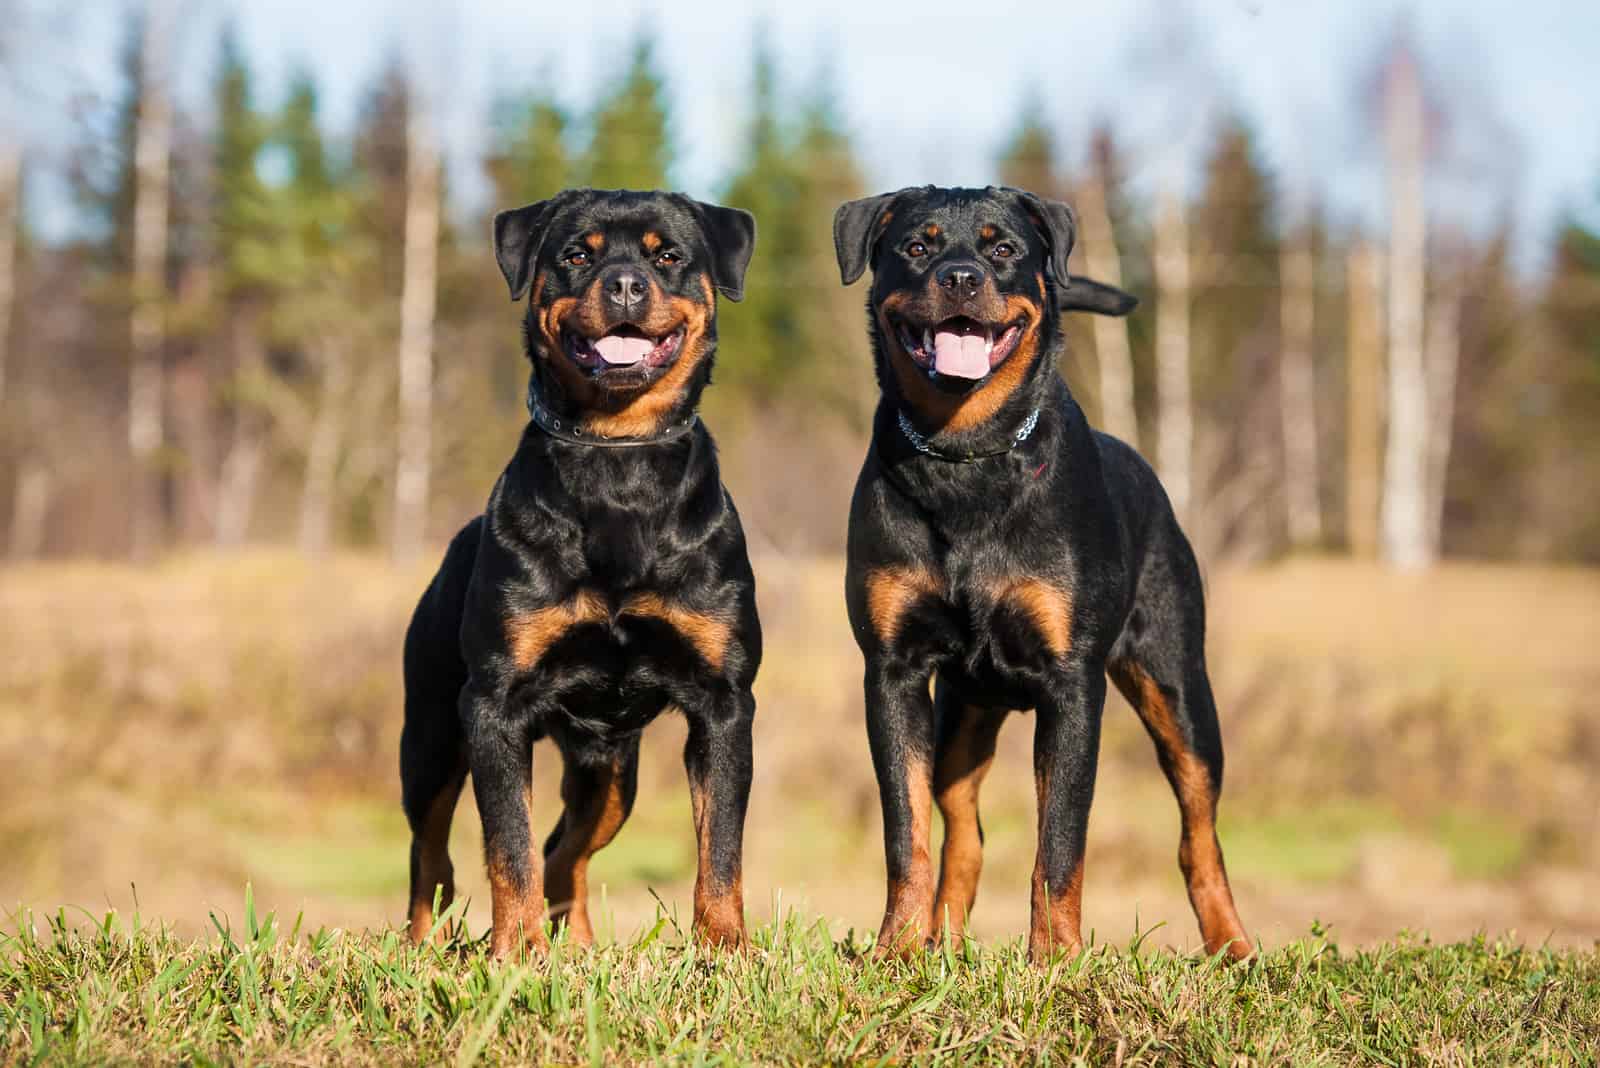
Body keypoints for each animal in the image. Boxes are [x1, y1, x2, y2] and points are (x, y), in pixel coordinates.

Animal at [409, 187, 764, 952]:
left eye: (668, 256)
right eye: (576, 255)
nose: (626, 284)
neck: (617, 457)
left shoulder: (723, 703)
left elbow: (720, 844)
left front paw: (724, 946)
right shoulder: (493, 706)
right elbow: (506, 845)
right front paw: (515, 952)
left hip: (610, 770)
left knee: (563, 851)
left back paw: (579, 948)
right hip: (430, 735)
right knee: (432, 852)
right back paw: (422, 946)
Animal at [832, 187, 1254, 965]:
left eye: (1003, 248)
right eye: (916, 246)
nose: (961, 278)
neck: (965, 458)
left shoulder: (1072, 680)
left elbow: (1059, 839)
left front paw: (1054, 957)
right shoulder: (894, 669)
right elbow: (908, 832)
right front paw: (897, 950)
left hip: (1177, 685)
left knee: (1199, 831)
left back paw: (1233, 946)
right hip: (963, 711)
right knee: (963, 831)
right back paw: (941, 942)